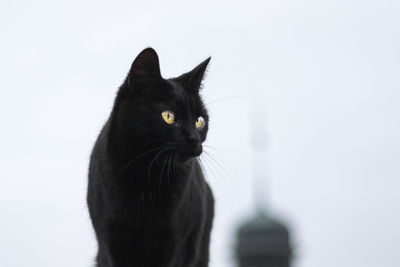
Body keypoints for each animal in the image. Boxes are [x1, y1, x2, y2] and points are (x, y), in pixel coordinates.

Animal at [86, 48, 214, 267]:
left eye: (199, 121)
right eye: (168, 116)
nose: (195, 139)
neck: (146, 174)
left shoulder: (173, 247)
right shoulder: (112, 245)